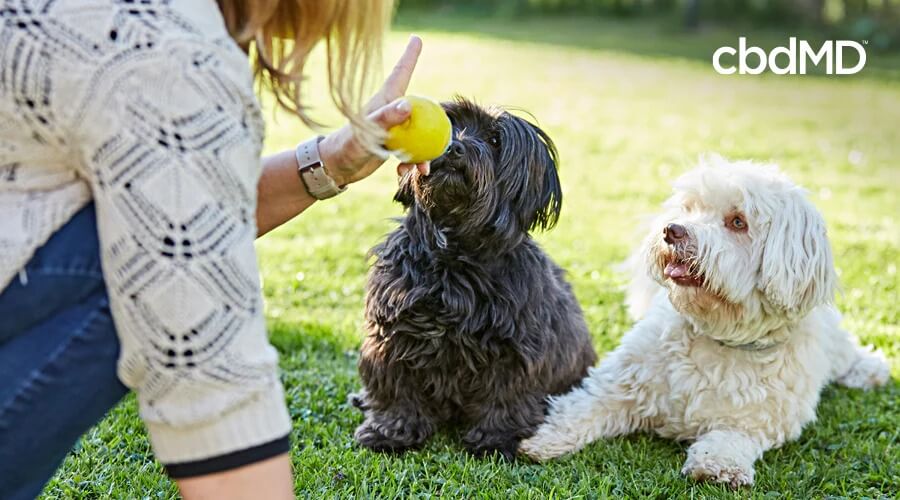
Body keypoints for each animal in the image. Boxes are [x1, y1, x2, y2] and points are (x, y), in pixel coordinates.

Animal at [352, 98, 596, 460]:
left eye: (495, 140)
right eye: (452, 124)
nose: (454, 148)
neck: (455, 255)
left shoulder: (514, 349)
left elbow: (506, 397)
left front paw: (495, 439)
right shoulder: (393, 335)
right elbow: (397, 388)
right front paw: (391, 431)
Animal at [516, 157, 888, 488]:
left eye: (738, 222)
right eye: (690, 208)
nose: (672, 230)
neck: (719, 333)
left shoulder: (759, 421)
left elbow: (730, 438)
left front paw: (716, 466)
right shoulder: (621, 383)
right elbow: (583, 406)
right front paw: (544, 439)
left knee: (846, 352)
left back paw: (870, 370)